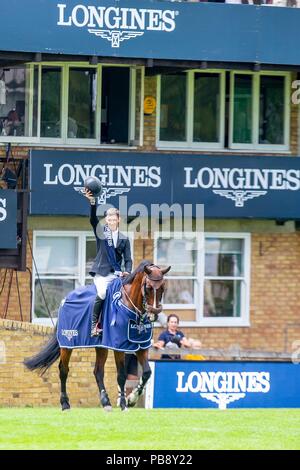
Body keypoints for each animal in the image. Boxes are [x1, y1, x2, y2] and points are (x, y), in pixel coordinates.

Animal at [24, 260, 170, 412]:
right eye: (148, 288)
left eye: (162, 288)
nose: (153, 314)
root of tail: (65, 299)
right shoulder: (119, 347)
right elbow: (121, 375)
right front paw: (124, 404)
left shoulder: (141, 346)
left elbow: (147, 372)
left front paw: (131, 399)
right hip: (67, 345)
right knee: (63, 370)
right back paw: (65, 404)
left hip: (101, 346)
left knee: (98, 371)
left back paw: (105, 402)